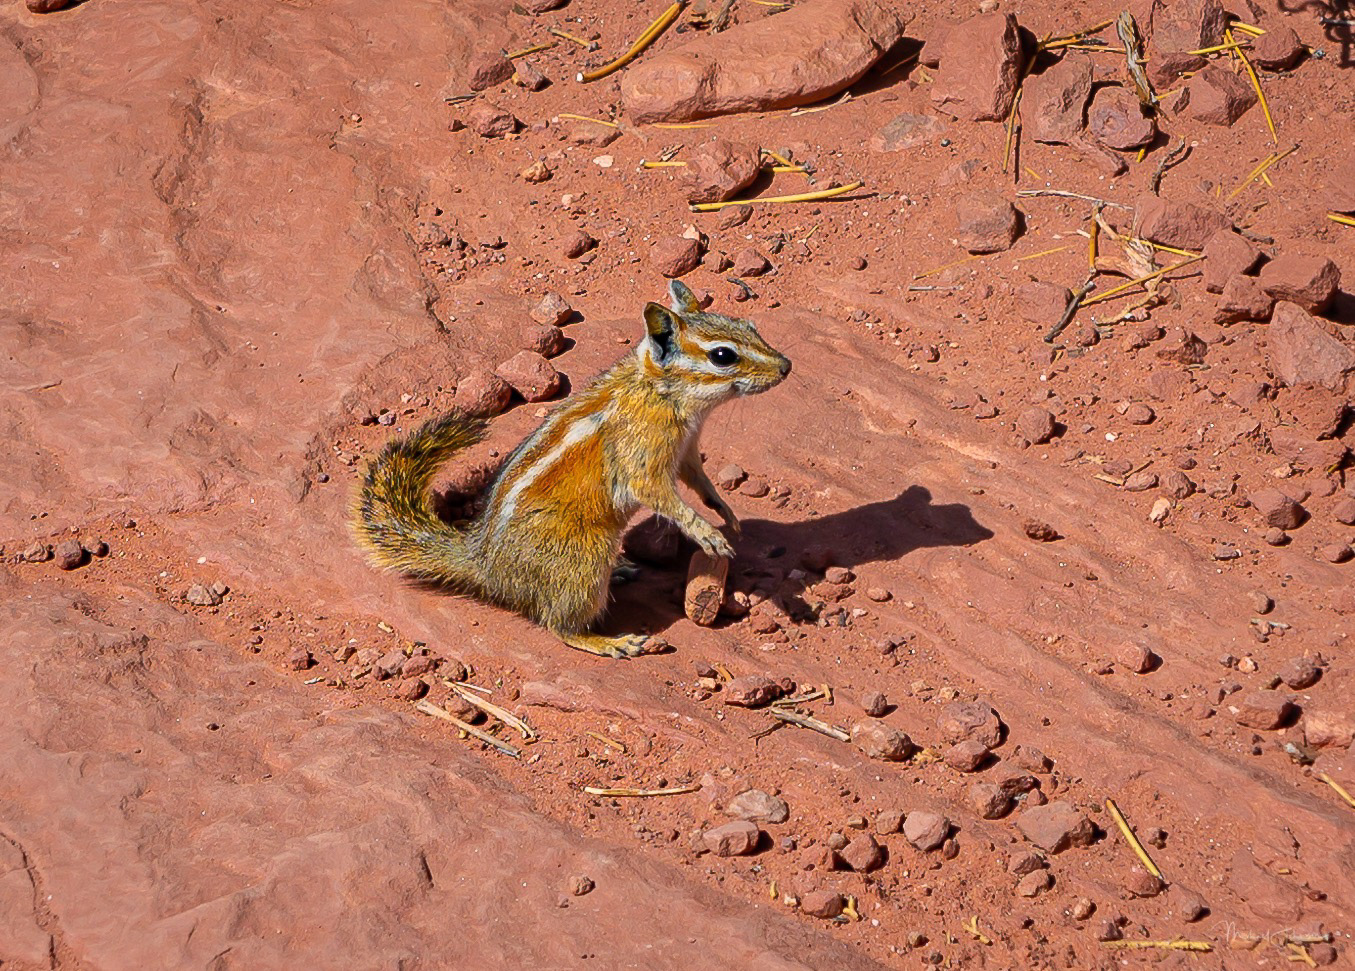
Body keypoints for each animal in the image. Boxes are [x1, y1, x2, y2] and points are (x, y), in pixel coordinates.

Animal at [354, 280, 792, 658]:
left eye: (749, 325)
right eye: (722, 356)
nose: (786, 366)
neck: (659, 391)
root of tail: (484, 564)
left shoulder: (685, 452)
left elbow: (699, 481)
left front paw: (725, 512)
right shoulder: (643, 460)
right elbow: (662, 496)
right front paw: (706, 533)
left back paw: (621, 571)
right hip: (584, 560)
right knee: (559, 626)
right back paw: (610, 642)